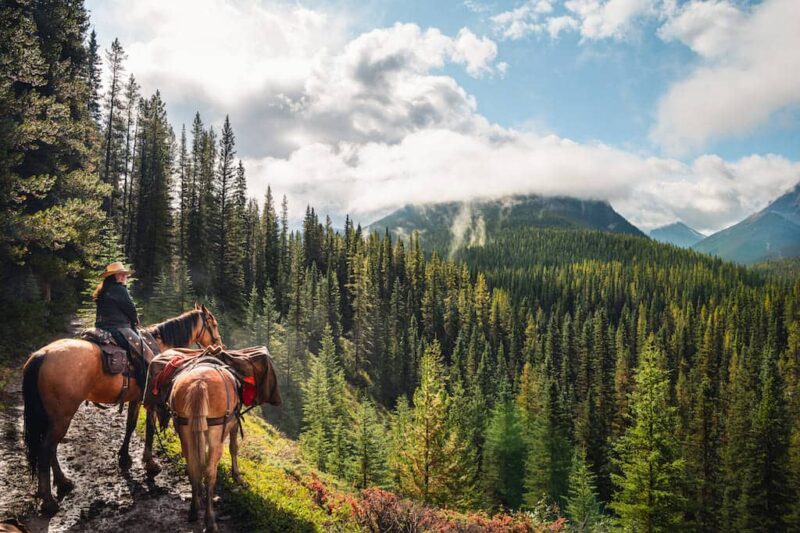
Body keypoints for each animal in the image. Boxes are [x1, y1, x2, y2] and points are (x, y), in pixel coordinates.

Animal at [22, 304, 222, 516]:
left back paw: (63, 482)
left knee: (49, 449)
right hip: (62, 417)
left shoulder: (134, 399)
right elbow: (149, 429)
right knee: (46, 450)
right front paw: (150, 463)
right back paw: (49, 501)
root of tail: (42, 355)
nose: (219, 344)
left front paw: (125, 458)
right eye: (213, 324)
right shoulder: (149, 400)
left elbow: (130, 425)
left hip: (52, 418)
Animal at [170, 352, 282, 528]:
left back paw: (194, 510)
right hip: (217, 434)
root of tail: (199, 384)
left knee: (193, 467)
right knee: (210, 472)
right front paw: (236, 476)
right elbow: (234, 448)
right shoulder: (234, 422)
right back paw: (210, 520)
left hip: (185, 431)